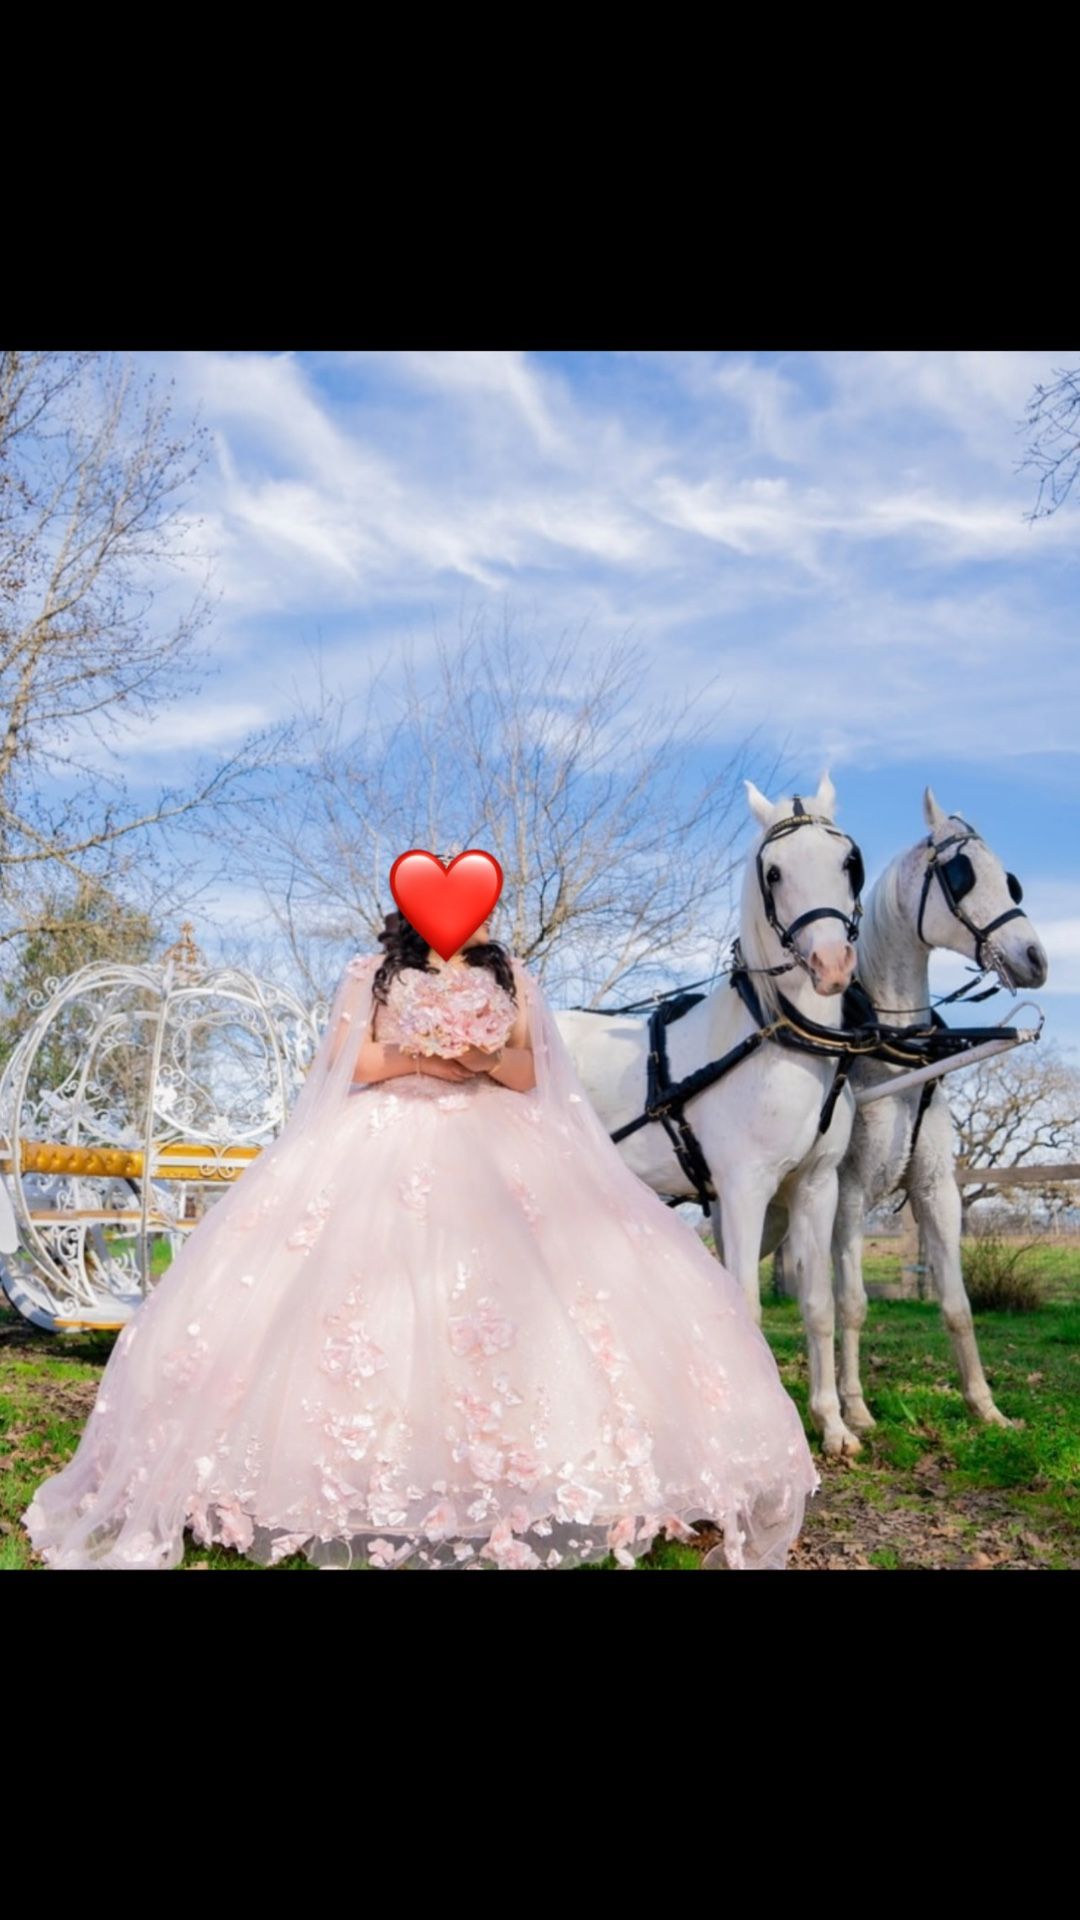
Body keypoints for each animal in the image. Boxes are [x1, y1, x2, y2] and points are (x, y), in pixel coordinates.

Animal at [553, 764, 864, 1451]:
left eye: (848, 861)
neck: (776, 1041)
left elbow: (818, 1306)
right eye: (772, 871)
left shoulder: (816, 1186)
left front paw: (831, 1423)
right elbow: (745, 1304)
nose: (832, 965)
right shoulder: (744, 1189)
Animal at [826, 787, 1045, 1436]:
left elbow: (957, 1303)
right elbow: (852, 1302)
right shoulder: (848, 1191)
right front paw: (855, 1407)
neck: (894, 1046)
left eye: (1010, 879)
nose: (1036, 958)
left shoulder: (935, 1188)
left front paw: (986, 1406)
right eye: (961, 873)